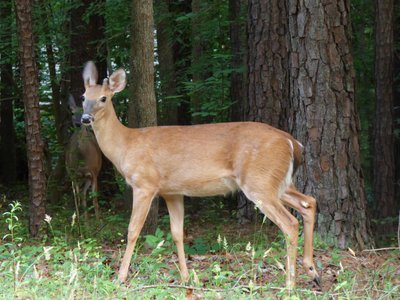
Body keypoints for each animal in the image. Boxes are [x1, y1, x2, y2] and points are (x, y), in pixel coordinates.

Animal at [79, 61, 320, 288]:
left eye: (103, 98)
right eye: (83, 96)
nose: (84, 118)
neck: (126, 145)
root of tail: (293, 143)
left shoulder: (144, 184)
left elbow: (132, 230)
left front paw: (120, 277)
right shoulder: (172, 192)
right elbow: (177, 233)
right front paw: (186, 278)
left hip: (259, 181)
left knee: (290, 223)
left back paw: (290, 283)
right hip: (277, 182)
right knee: (309, 202)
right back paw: (312, 271)